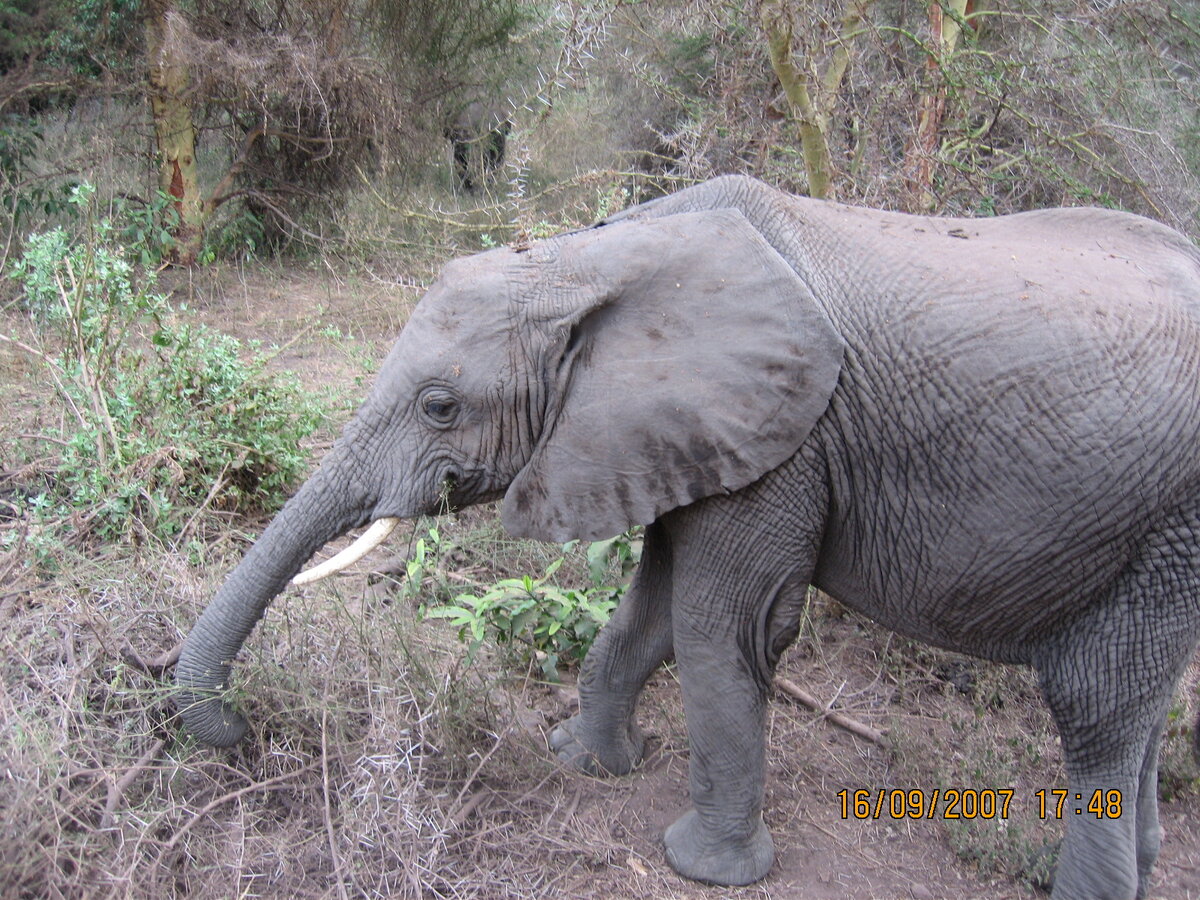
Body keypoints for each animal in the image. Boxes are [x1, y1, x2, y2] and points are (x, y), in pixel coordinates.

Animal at [174, 172, 1200, 897]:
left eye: (439, 406)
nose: (238, 727)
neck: (599, 257)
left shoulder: (787, 439)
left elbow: (722, 628)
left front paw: (701, 867)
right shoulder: (683, 436)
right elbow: (655, 610)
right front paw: (586, 764)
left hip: (1171, 513)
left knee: (1098, 705)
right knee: (1141, 703)